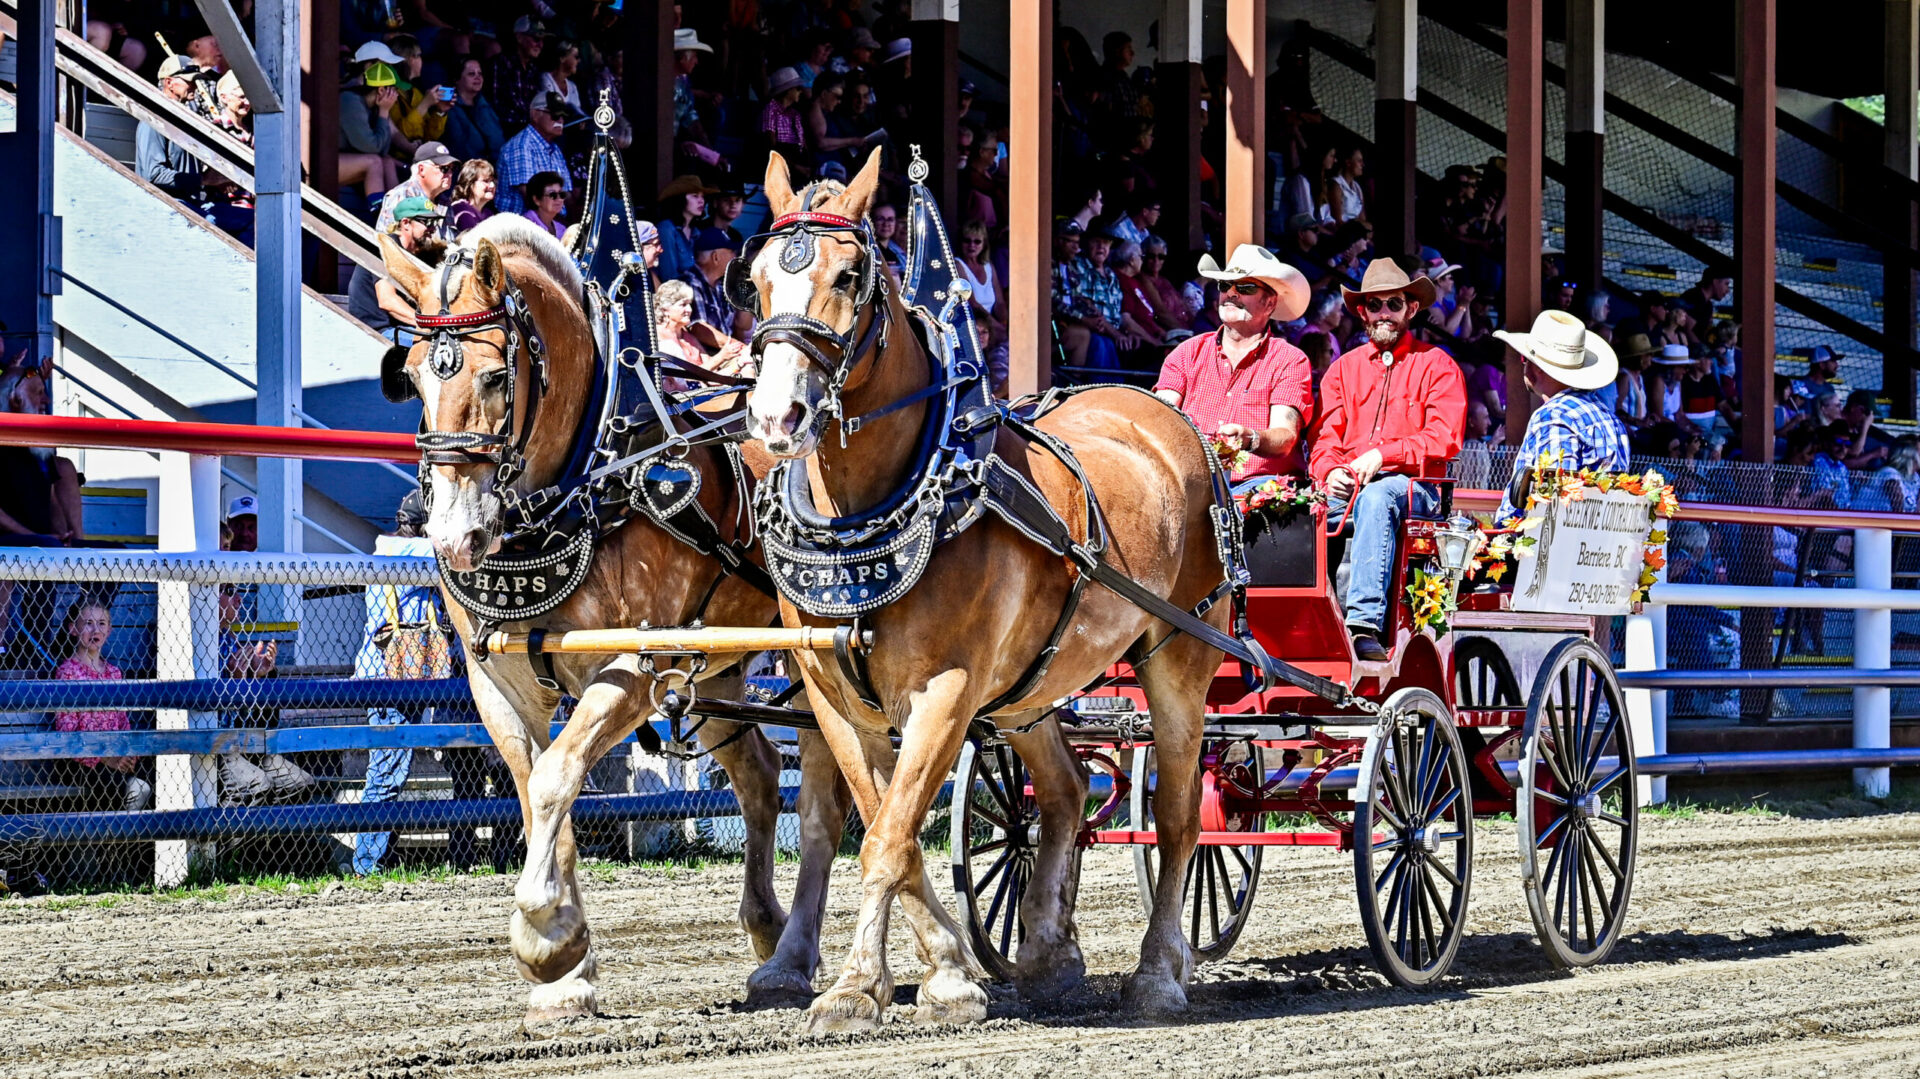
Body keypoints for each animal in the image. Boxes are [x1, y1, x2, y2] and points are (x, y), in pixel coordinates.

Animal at [382, 214, 848, 1013]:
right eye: (412, 376)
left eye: (496, 375)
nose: (451, 536)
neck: (579, 491)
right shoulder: (496, 683)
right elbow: (536, 791)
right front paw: (566, 971)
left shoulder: (633, 670)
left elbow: (556, 777)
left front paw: (545, 933)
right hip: (711, 668)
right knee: (759, 775)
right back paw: (766, 931)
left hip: (811, 658)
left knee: (824, 794)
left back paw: (794, 956)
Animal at [733, 151, 1228, 1021]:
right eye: (757, 278)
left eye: (849, 274)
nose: (776, 415)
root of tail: (1154, 405)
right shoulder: (834, 695)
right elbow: (883, 824)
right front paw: (939, 970)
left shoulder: (948, 689)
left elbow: (888, 834)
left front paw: (865, 987)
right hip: (1029, 687)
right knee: (1065, 791)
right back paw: (1048, 951)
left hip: (1180, 655)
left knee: (1175, 816)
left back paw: (1160, 970)